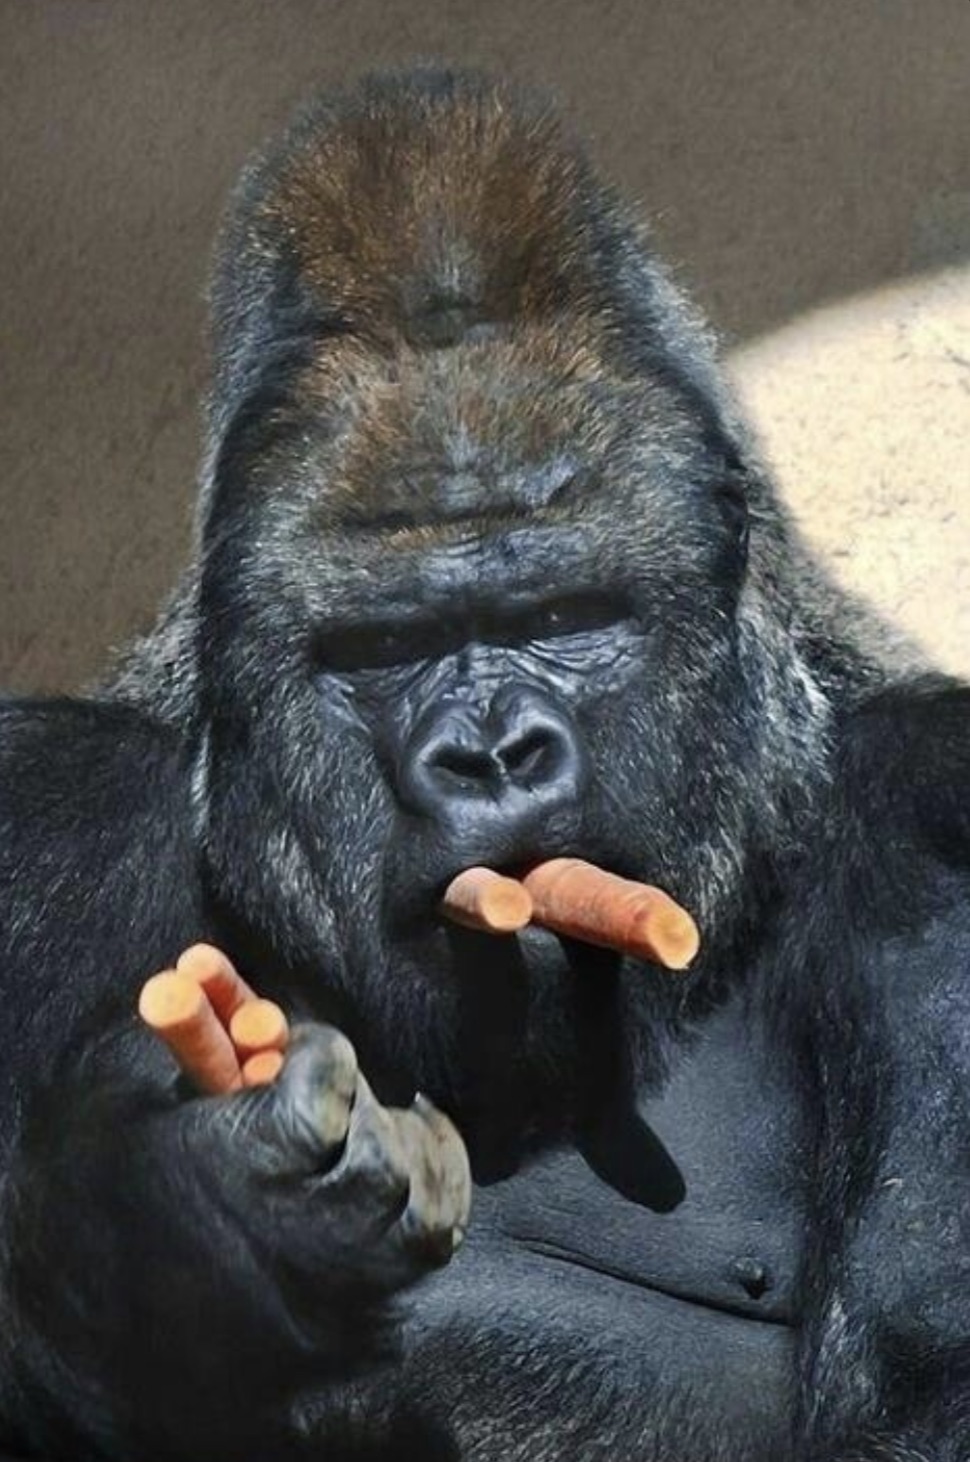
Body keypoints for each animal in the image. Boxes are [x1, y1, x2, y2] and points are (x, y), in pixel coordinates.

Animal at [1, 65, 970, 1462]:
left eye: (562, 616)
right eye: (384, 645)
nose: (491, 753)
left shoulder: (935, 831)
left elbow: (920, 1396)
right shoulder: (43, 829)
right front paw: (168, 1222)